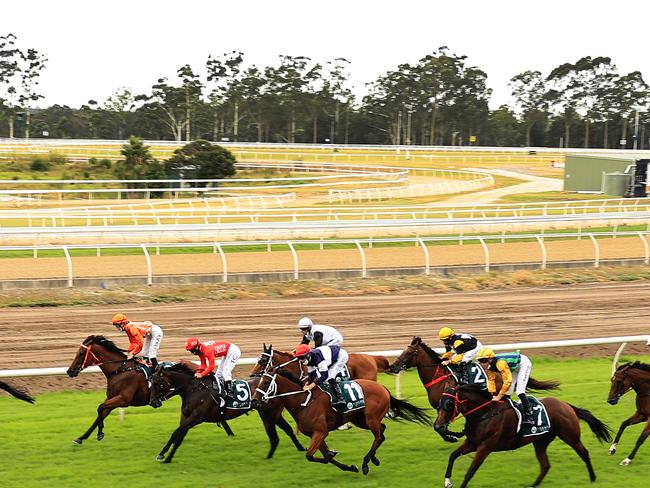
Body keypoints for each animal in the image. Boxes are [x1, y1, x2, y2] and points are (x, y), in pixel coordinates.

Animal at [149, 364, 306, 464]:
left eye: (158, 382)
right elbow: (179, 437)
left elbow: (175, 433)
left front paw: (161, 454)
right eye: (150, 381)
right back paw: (300, 448)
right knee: (288, 430)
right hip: (275, 415)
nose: (153, 402)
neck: (194, 390)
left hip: (268, 414)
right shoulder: (186, 417)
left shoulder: (196, 418)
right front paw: (168, 458)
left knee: (275, 437)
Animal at [252, 360, 430, 474]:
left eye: (266, 383)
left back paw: (366, 463)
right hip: (360, 420)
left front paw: (335, 455)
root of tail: (382, 387)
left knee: (379, 436)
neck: (304, 401)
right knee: (382, 431)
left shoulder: (320, 432)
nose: (254, 401)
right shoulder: (314, 434)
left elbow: (311, 456)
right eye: (259, 382)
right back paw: (373, 459)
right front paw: (349, 467)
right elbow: (322, 456)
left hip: (370, 418)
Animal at [432, 386, 612, 488]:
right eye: (439, 404)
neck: (484, 414)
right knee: (545, 465)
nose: (439, 427)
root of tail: (566, 405)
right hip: (540, 442)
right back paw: (533, 485)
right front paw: (447, 481)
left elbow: (470, 471)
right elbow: (453, 455)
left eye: (449, 404)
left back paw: (593, 478)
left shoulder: (486, 446)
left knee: (584, 453)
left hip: (570, 436)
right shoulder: (472, 442)